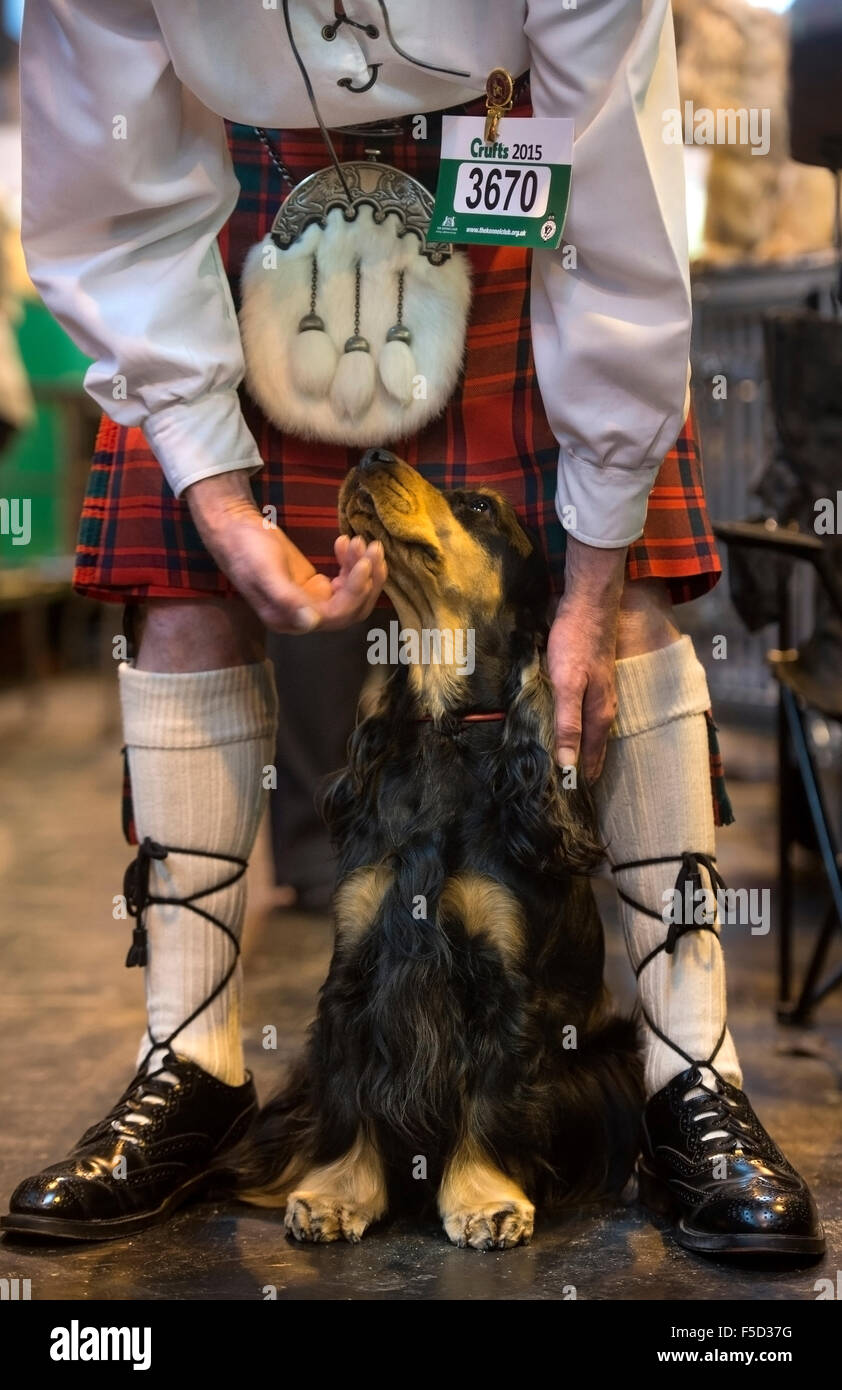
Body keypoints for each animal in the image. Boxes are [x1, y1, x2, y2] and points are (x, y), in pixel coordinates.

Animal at [240, 447, 644, 1251]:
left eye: (480, 508)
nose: (370, 455)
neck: (442, 734)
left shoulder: (506, 981)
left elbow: (492, 1095)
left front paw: (487, 1201)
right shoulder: (356, 965)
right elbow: (348, 1092)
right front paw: (335, 1194)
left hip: (610, 1056)